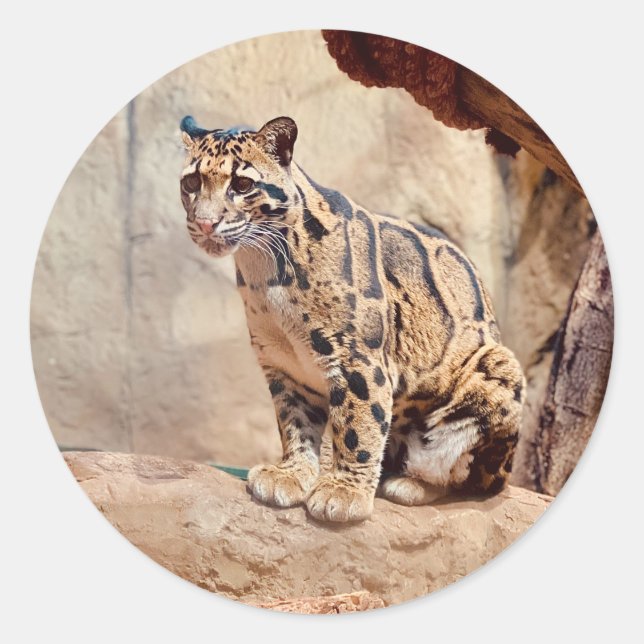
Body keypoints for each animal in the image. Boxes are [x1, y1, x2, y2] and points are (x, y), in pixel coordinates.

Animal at [179, 114, 525, 523]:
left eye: (242, 185)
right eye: (191, 182)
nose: (204, 223)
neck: (263, 268)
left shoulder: (357, 358)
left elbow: (358, 426)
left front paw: (343, 493)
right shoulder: (284, 365)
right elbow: (295, 424)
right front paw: (292, 474)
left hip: (498, 369)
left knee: (470, 478)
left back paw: (410, 484)